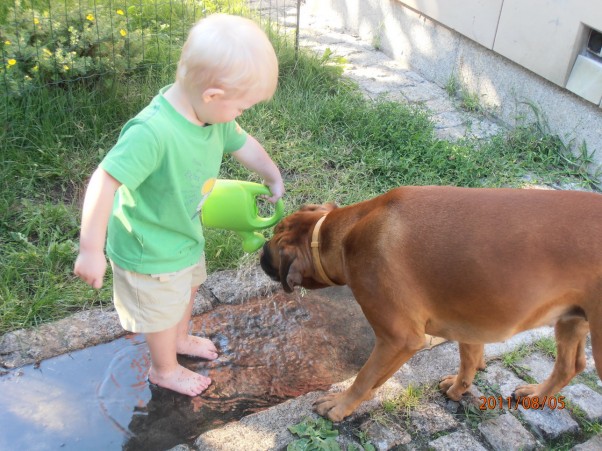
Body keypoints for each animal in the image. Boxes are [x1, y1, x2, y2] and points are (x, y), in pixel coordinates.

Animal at [260, 185, 600, 422]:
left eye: (273, 239)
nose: (260, 252)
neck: (347, 231)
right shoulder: (469, 321)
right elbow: (468, 359)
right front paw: (460, 388)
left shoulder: (398, 339)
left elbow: (364, 378)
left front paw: (341, 404)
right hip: (571, 320)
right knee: (570, 366)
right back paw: (538, 394)